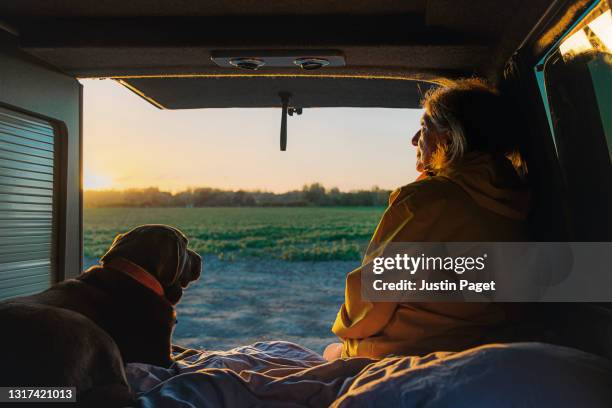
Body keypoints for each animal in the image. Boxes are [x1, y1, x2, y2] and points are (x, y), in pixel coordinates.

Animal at [0, 225, 206, 406]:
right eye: (185, 244)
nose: (200, 258)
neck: (136, 275)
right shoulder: (161, 358)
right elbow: (183, 355)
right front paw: (194, 354)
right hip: (90, 330)